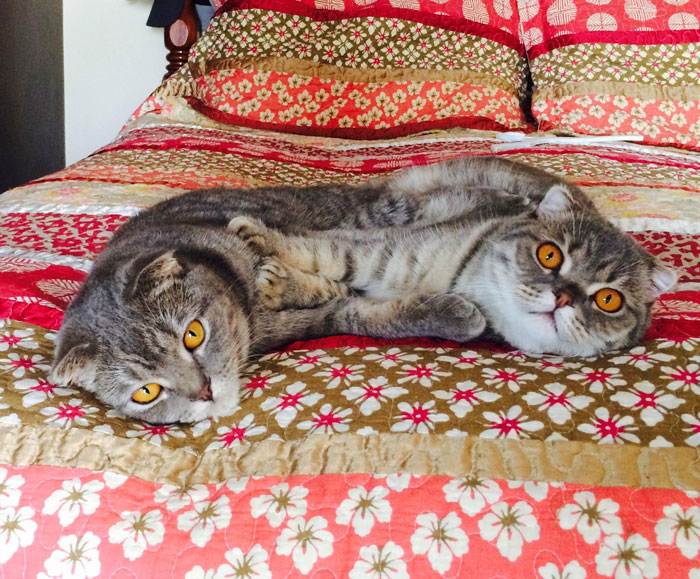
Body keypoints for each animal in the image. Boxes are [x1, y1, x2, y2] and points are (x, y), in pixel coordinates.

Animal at [52, 156, 676, 424]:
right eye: (146, 393)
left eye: (192, 335)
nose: (204, 392)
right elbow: (356, 297)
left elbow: (363, 297)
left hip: (387, 205)